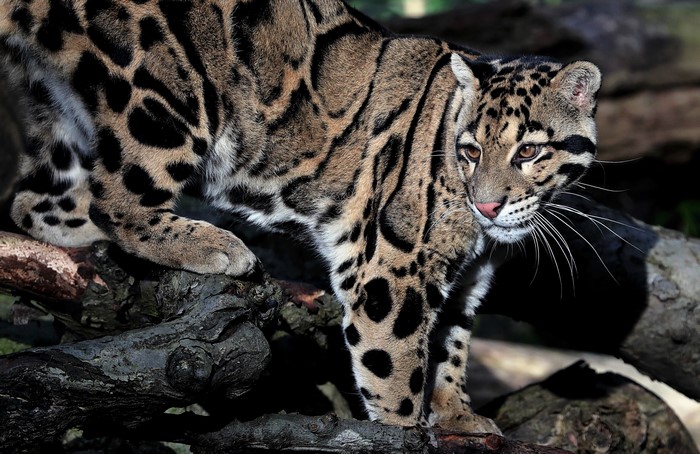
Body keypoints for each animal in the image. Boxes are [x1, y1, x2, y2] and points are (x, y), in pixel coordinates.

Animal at [0, 0, 601, 433]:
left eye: (528, 152)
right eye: (472, 151)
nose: (488, 204)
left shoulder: (466, 280)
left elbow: (450, 347)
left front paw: (456, 416)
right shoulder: (391, 272)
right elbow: (397, 368)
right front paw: (403, 431)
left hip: (57, 115)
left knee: (31, 203)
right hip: (162, 98)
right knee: (117, 198)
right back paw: (212, 246)